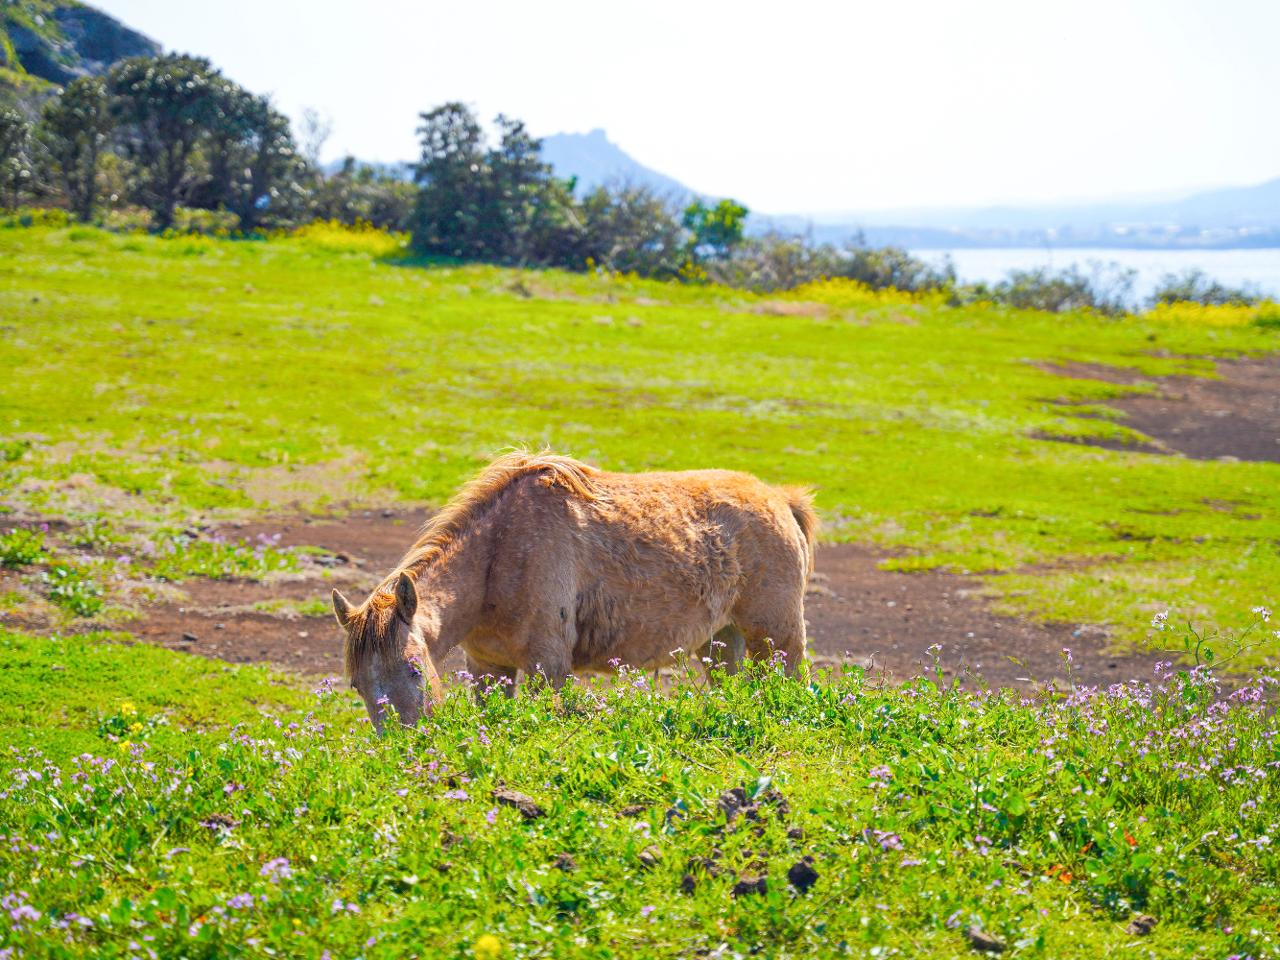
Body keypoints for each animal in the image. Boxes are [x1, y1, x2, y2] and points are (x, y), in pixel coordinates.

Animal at [327, 450, 808, 727]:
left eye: (413, 669)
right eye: (357, 685)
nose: (408, 748)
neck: (498, 558)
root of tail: (781, 500)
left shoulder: (548, 667)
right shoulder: (488, 667)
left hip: (776, 637)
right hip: (722, 641)